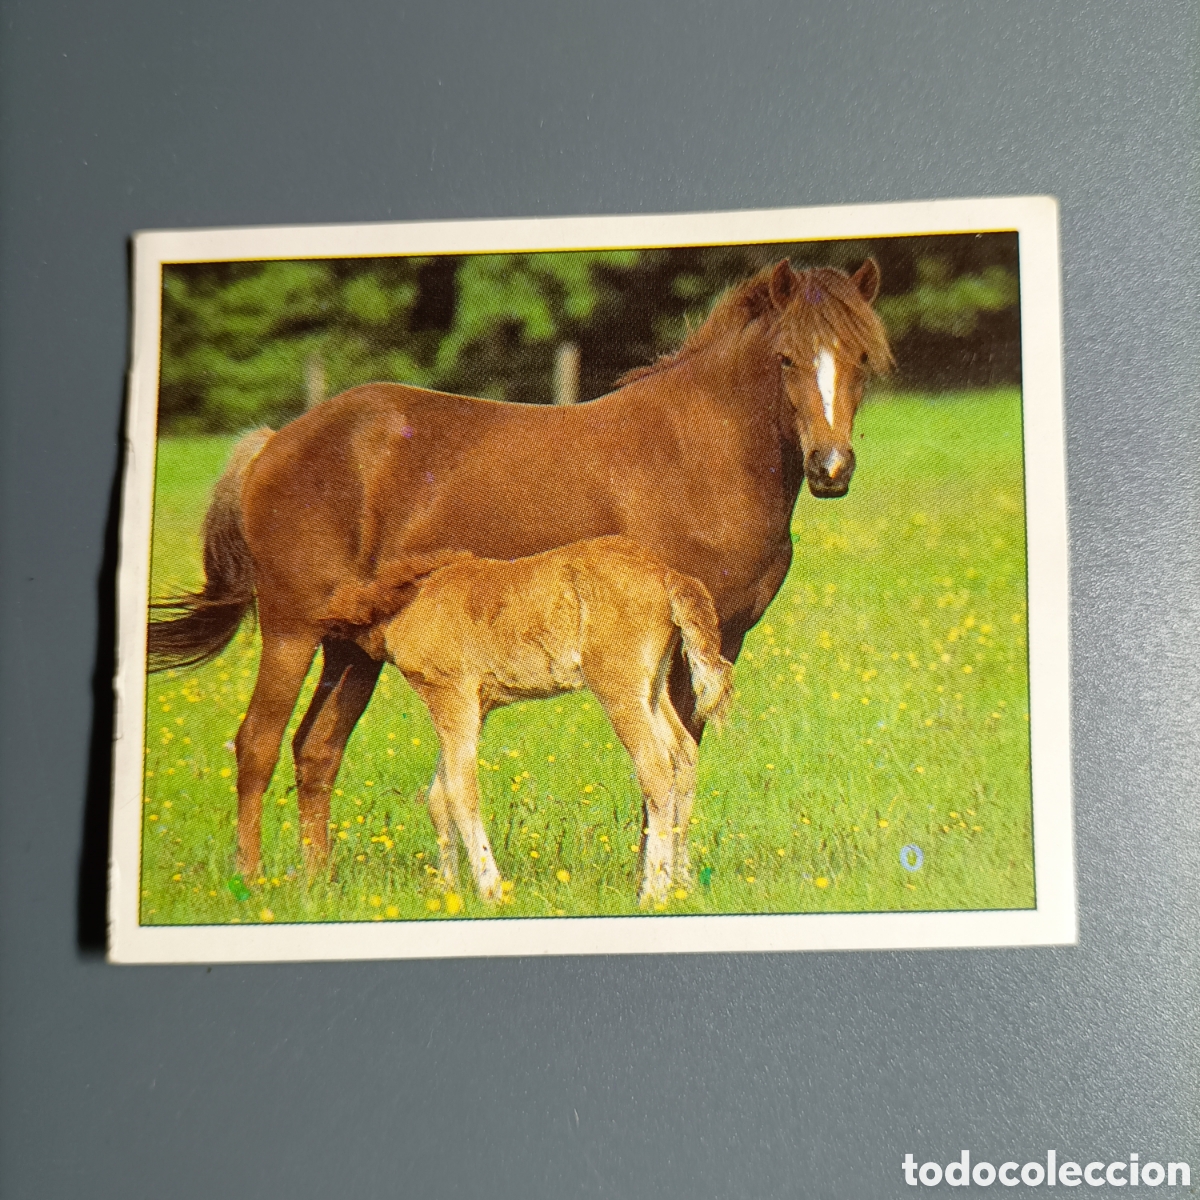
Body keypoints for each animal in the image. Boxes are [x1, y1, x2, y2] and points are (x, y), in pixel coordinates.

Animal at [324, 535, 733, 904]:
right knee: (683, 753)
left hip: (618, 686)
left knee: (655, 767)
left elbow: (460, 791)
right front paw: (447, 890)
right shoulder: (473, 707)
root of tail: (667, 575)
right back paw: (682, 883)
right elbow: (439, 796)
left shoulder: (449, 695)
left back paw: (653, 892)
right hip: (653, 686)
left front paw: (491, 891)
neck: (411, 600)